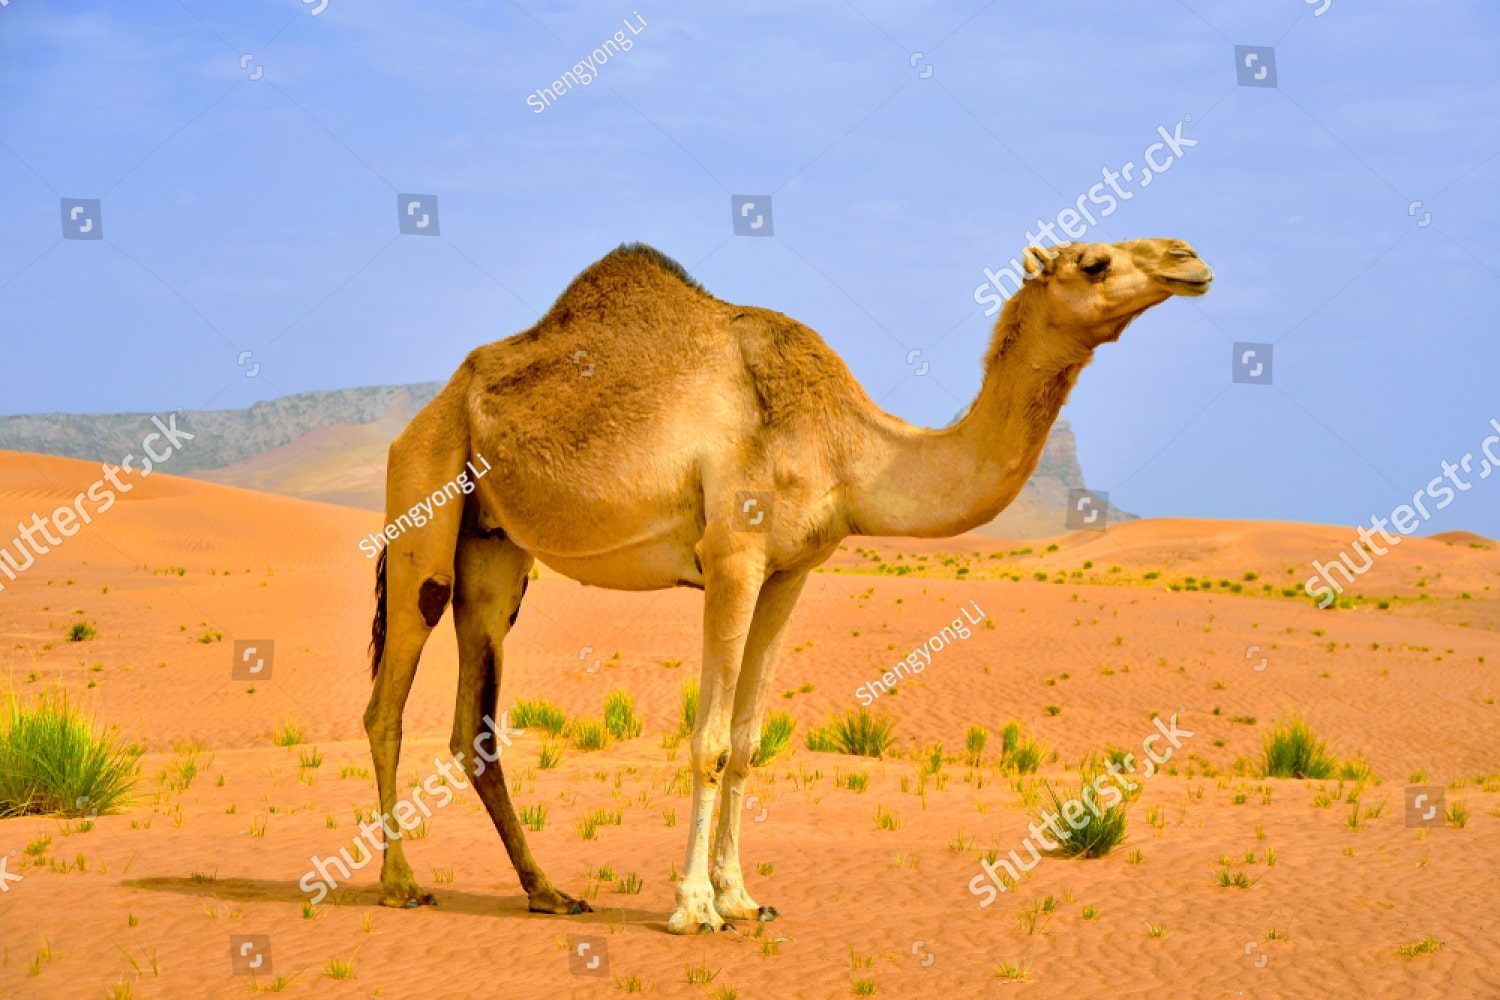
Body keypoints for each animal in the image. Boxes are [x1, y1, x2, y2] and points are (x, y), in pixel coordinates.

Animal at [363, 237, 1212, 933]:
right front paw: (694, 908)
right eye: (1094, 262)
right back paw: (400, 882)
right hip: (424, 500)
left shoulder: (791, 571)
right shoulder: (732, 555)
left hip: (496, 553)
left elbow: (746, 744)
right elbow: (708, 741)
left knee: (474, 725)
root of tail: (430, 408)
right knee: (386, 702)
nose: (1189, 258)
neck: (848, 447)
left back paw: (548, 891)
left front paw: (743, 898)